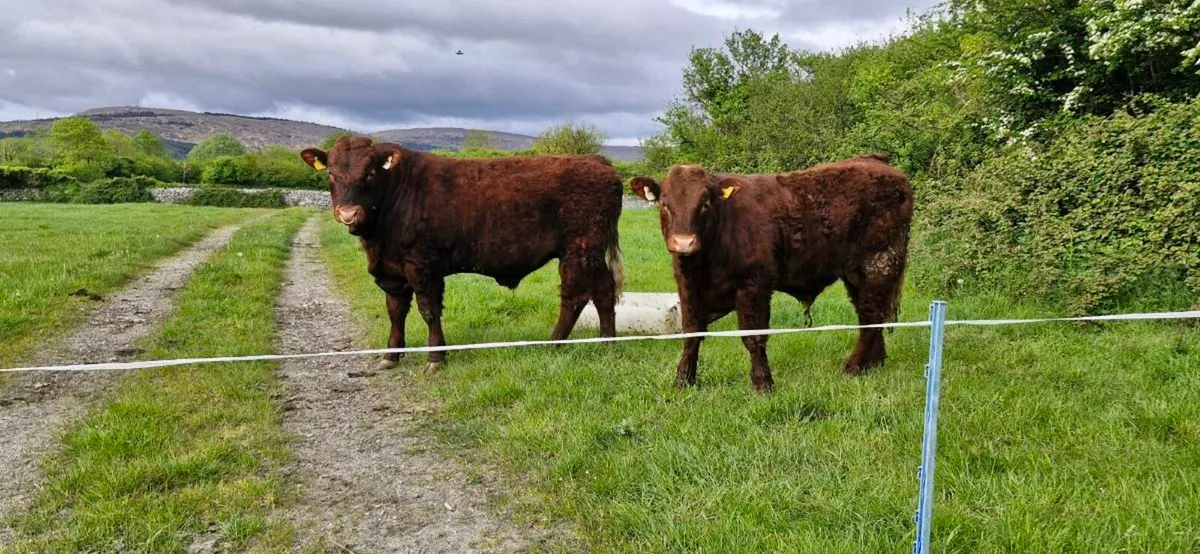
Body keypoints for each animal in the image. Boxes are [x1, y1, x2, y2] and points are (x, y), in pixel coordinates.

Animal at [301, 136, 625, 372]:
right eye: (331, 174)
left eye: (369, 173)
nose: (348, 213)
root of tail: (597, 161)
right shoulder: (391, 271)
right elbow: (395, 311)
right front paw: (391, 355)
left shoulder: (424, 266)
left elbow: (429, 311)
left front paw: (436, 358)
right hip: (589, 251)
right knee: (603, 290)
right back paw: (607, 342)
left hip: (579, 248)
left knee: (575, 295)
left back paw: (554, 342)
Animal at [628, 154, 913, 392]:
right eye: (665, 204)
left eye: (704, 204)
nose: (684, 242)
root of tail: (878, 162)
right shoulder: (687, 286)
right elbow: (691, 334)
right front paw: (683, 380)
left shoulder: (754, 285)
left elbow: (753, 337)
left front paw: (762, 383)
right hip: (856, 272)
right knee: (869, 315)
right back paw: (874, 363)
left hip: (880, 261)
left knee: (871, 314)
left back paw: (854, 367)